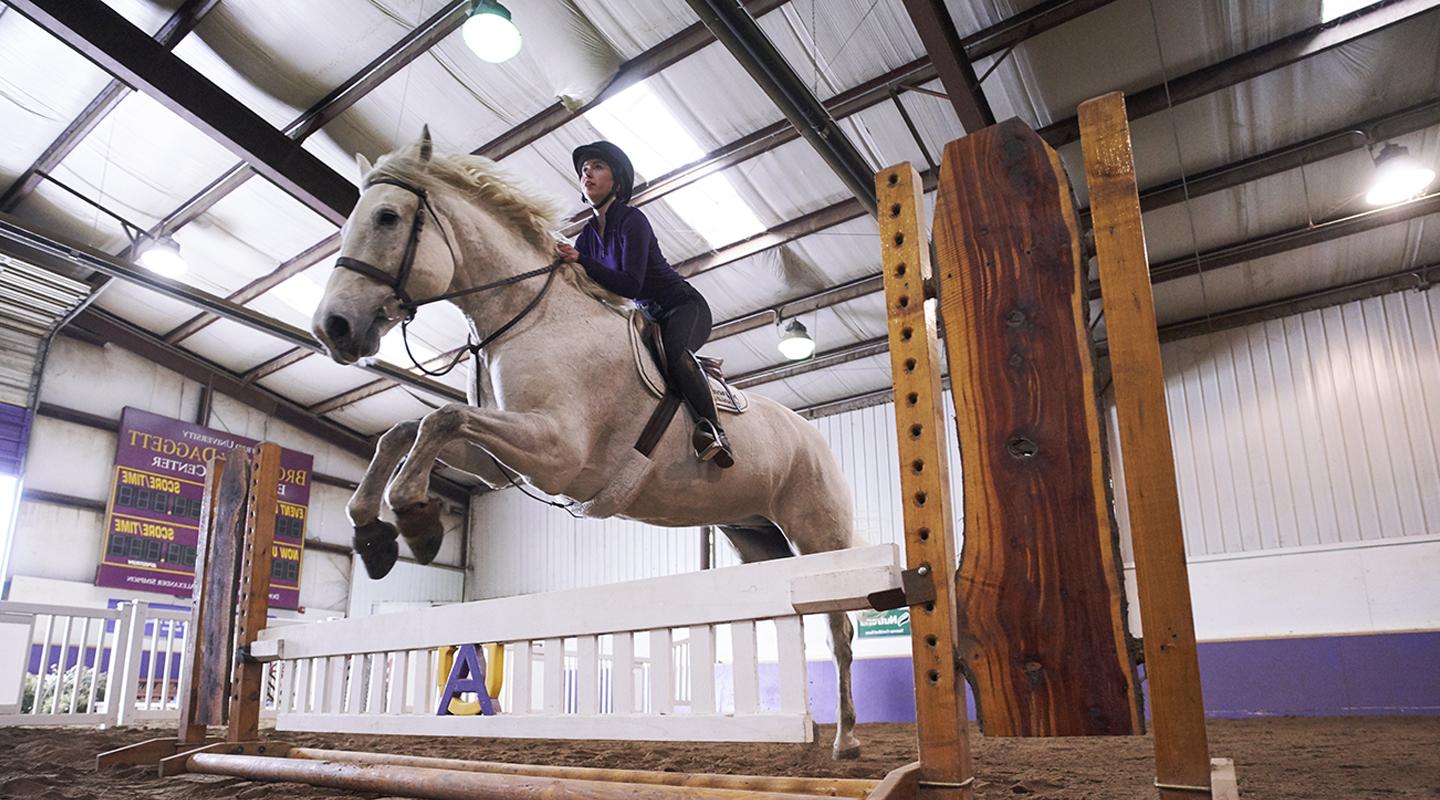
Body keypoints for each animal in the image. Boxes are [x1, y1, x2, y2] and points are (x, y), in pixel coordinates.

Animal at [309, 129, 858, 753]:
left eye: (387, 217)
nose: (332, 329)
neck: (527, 318)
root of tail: (811, 433)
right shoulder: (502, 463)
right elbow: (408, 430)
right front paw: (374, 534)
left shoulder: (557, 452)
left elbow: (441, 419)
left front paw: (416, 523)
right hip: (754, 535)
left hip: (819, 531)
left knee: (840, 624)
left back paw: (846, 740)